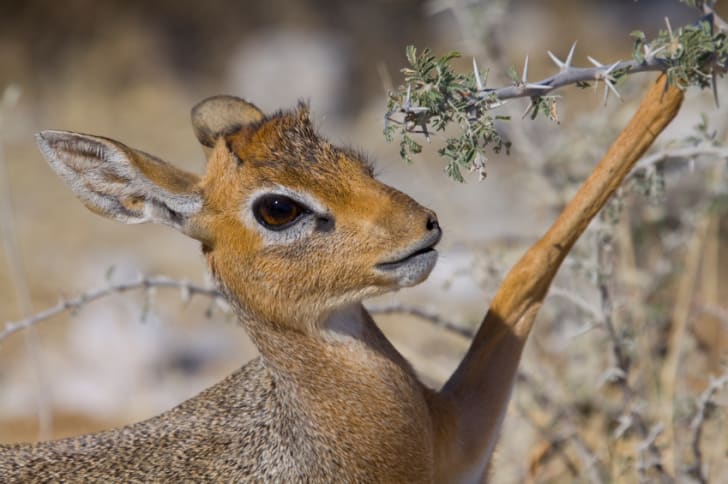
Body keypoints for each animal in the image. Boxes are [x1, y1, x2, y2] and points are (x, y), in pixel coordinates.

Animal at [0, 78, 684, 480]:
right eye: (279, 207)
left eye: (354, 161)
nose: (425, 226)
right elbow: (530, 265)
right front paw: (670, 86)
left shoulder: (457, 443)